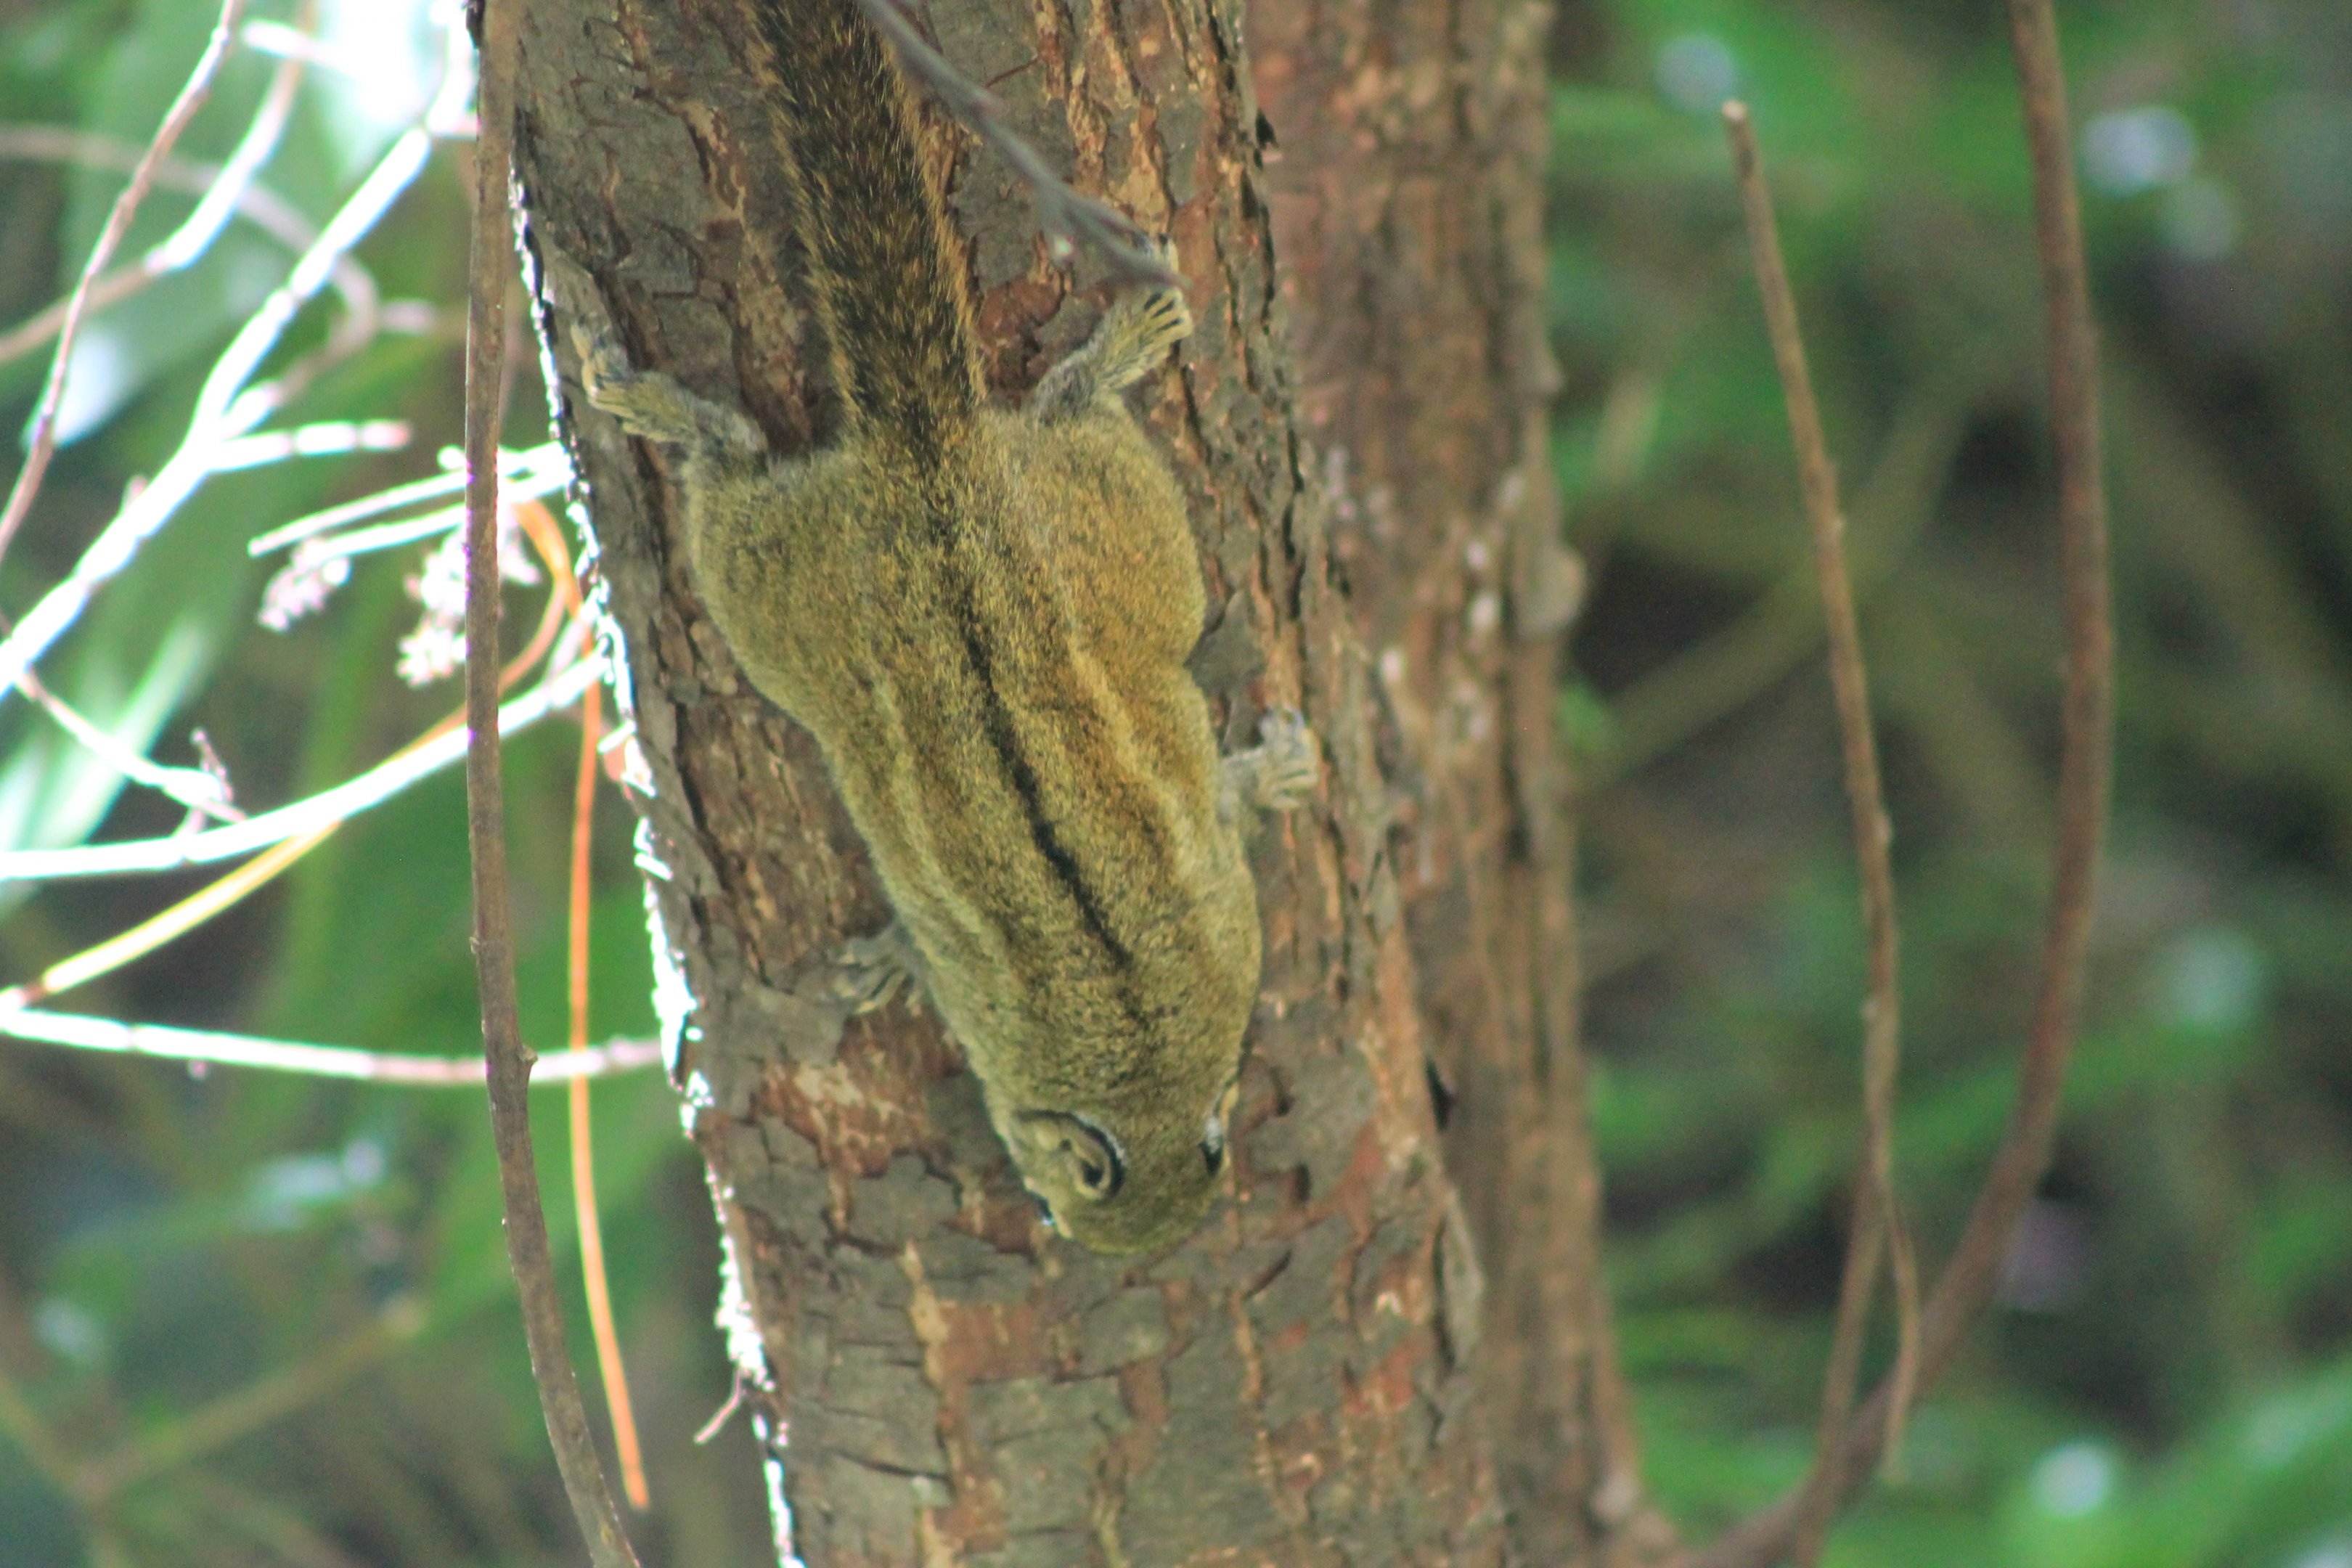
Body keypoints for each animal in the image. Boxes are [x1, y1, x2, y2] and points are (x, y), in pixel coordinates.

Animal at [576, 0, 1317, 1254]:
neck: (1144, 1062)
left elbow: (1222, 799)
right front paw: (884, 967)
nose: (1140, 1248)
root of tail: (933, 458)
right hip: (903, 558)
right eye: (1076, 1198)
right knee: (746, 464)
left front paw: (1283, 769)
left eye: (1209, 1162)